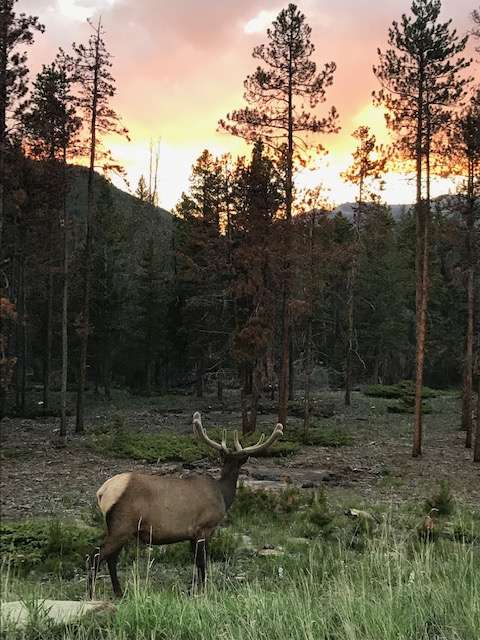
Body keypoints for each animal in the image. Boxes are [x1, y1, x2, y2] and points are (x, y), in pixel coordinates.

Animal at [88, 412, 284, 596]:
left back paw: (119, 592)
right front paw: (204, 590)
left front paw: (195, 588)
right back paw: (91, 594)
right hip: (122, 525)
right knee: (96, 555)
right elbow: (202, 562)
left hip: (121, 529)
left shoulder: (192, 535)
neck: (223, 495)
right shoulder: (204, 527)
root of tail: (102, 492)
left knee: (111, 558)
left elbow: (196, 562)